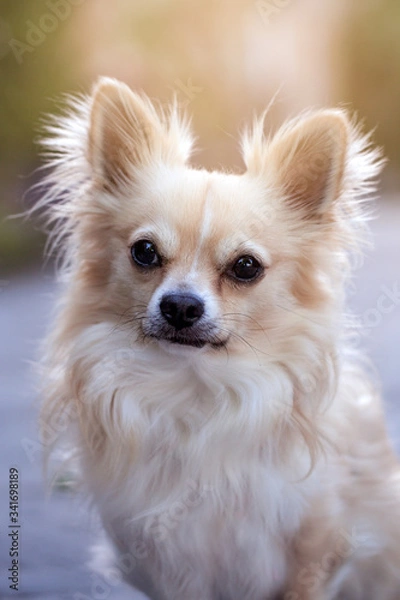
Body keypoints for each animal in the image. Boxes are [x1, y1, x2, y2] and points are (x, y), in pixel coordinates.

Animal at [39, 77, 400, 596]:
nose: (181, 305)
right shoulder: (163, 560)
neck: (198, 392)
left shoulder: (320, 548)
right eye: (144, 252)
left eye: (245, 266)